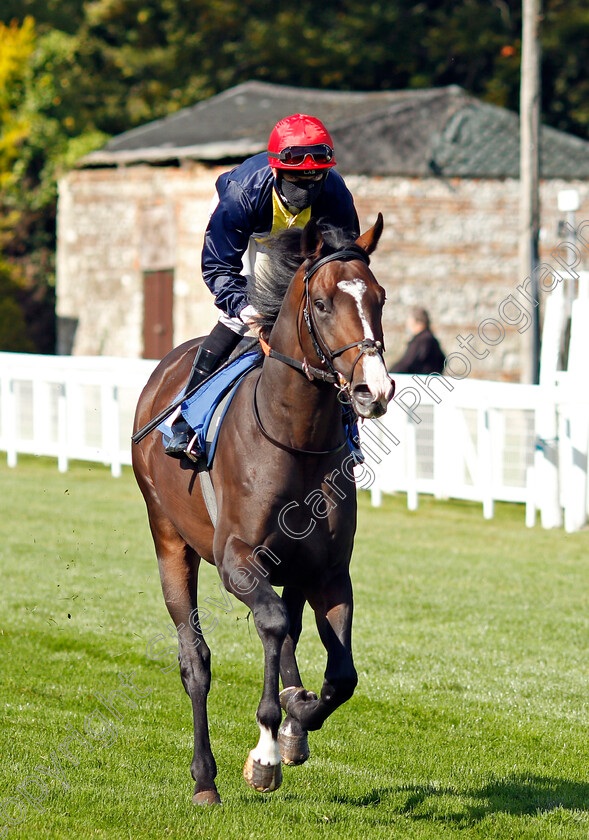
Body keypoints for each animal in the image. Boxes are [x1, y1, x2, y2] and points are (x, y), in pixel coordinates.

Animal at [131, 213, 392, 804]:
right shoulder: (237, 560)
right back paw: (205, 778)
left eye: (380, 297)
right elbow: (270, 627)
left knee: (290, 627)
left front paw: (296, 721)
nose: (375, 389)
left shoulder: (328, 570)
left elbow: (341, 675)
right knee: (197, 660)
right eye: (321, 303)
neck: (294, 436)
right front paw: (267, 750)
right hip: (169, 539)